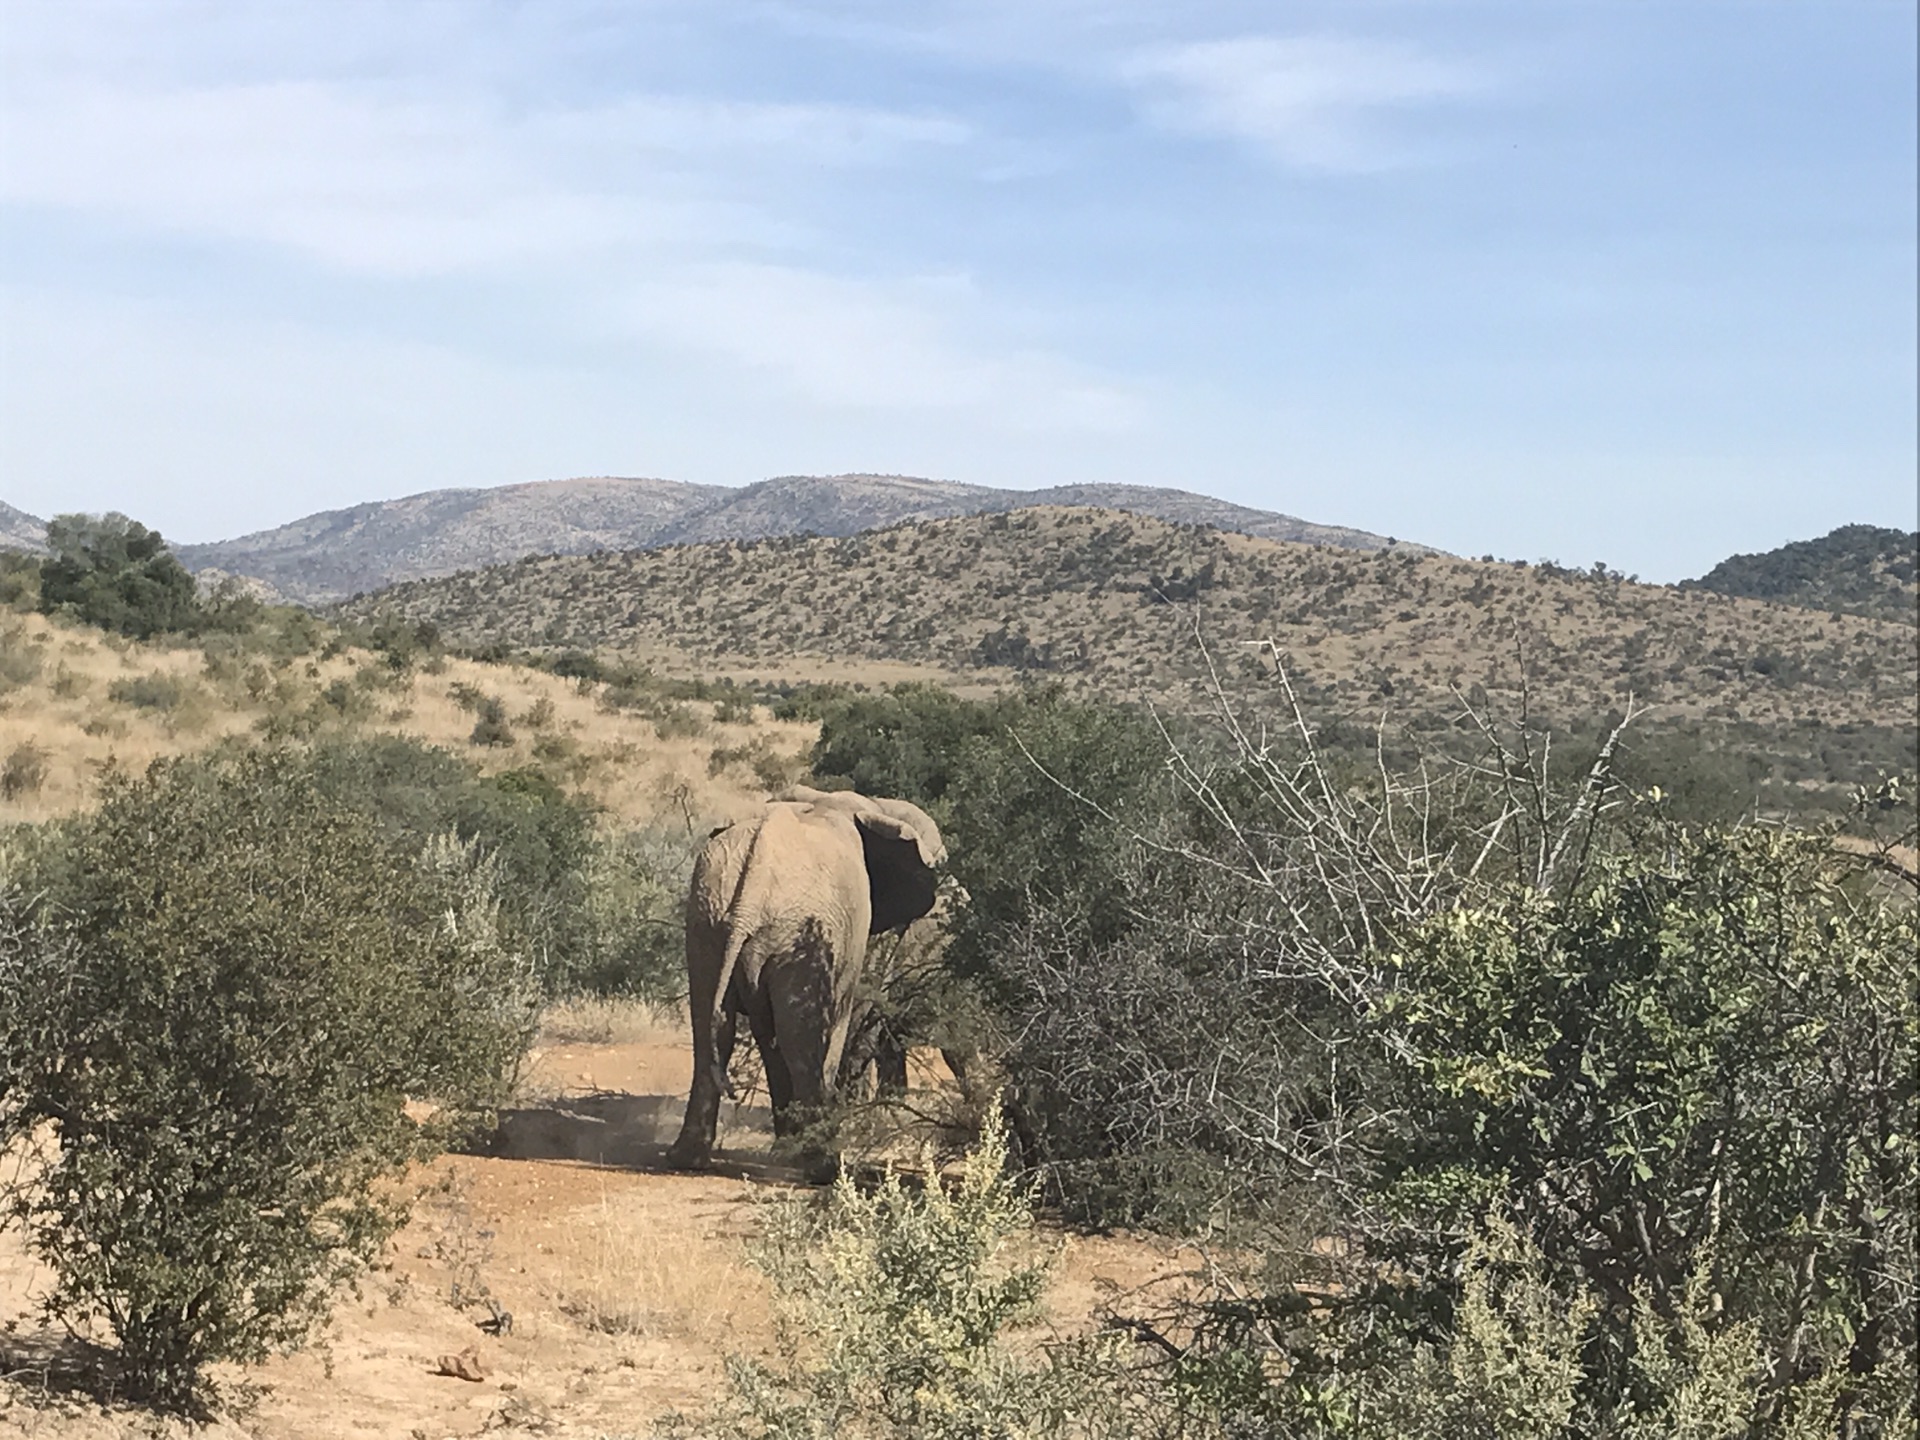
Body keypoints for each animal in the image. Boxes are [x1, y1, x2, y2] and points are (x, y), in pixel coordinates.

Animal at [668, 783, 952, 1175]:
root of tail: (751, 889)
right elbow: (845, 1020)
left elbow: (769, 1033)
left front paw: (785, 1149)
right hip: (798, 932)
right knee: (801, 1036)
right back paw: (825, 1166)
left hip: (707, 919)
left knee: (714, 1028)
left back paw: (687, 1159)